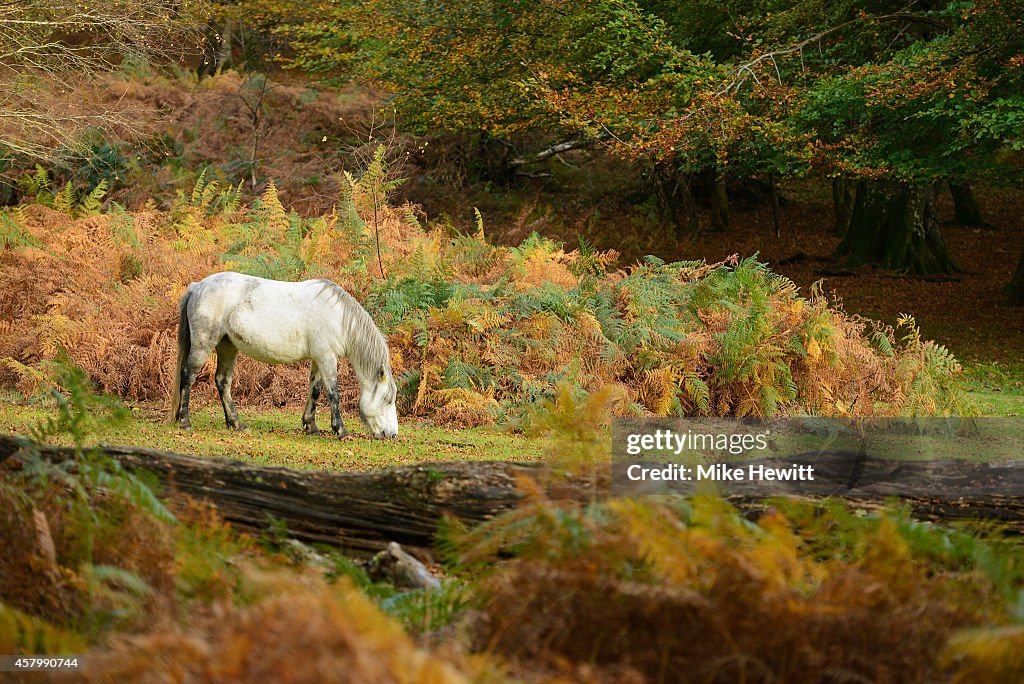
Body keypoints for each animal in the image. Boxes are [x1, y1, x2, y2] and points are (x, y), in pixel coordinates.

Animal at [169, 270, 397, 438]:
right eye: (387, 399)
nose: (392, 434)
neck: (338, 316)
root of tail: (198, 286)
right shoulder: (327, 358)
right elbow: (333, 393)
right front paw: (340, 430)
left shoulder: (318, 359)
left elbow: (315, 390)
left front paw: (311, 426)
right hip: (203, 344)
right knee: (188, 375)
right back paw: (185, 421)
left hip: (228, 346)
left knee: (223, 381)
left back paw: (236, 423)